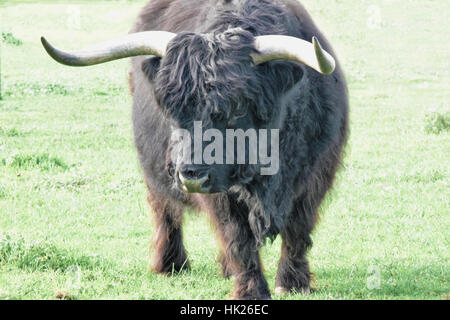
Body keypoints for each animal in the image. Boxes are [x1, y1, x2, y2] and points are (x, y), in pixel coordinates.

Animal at [41, 0, 348, 300]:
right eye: (171, 109)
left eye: (238, 109)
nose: (191, 175)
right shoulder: (220, 192)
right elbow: (237, 237)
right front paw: (251, 291)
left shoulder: (315, 175)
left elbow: (298, 229)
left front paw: (293, 283)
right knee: (165, 211)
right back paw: (171, 264)